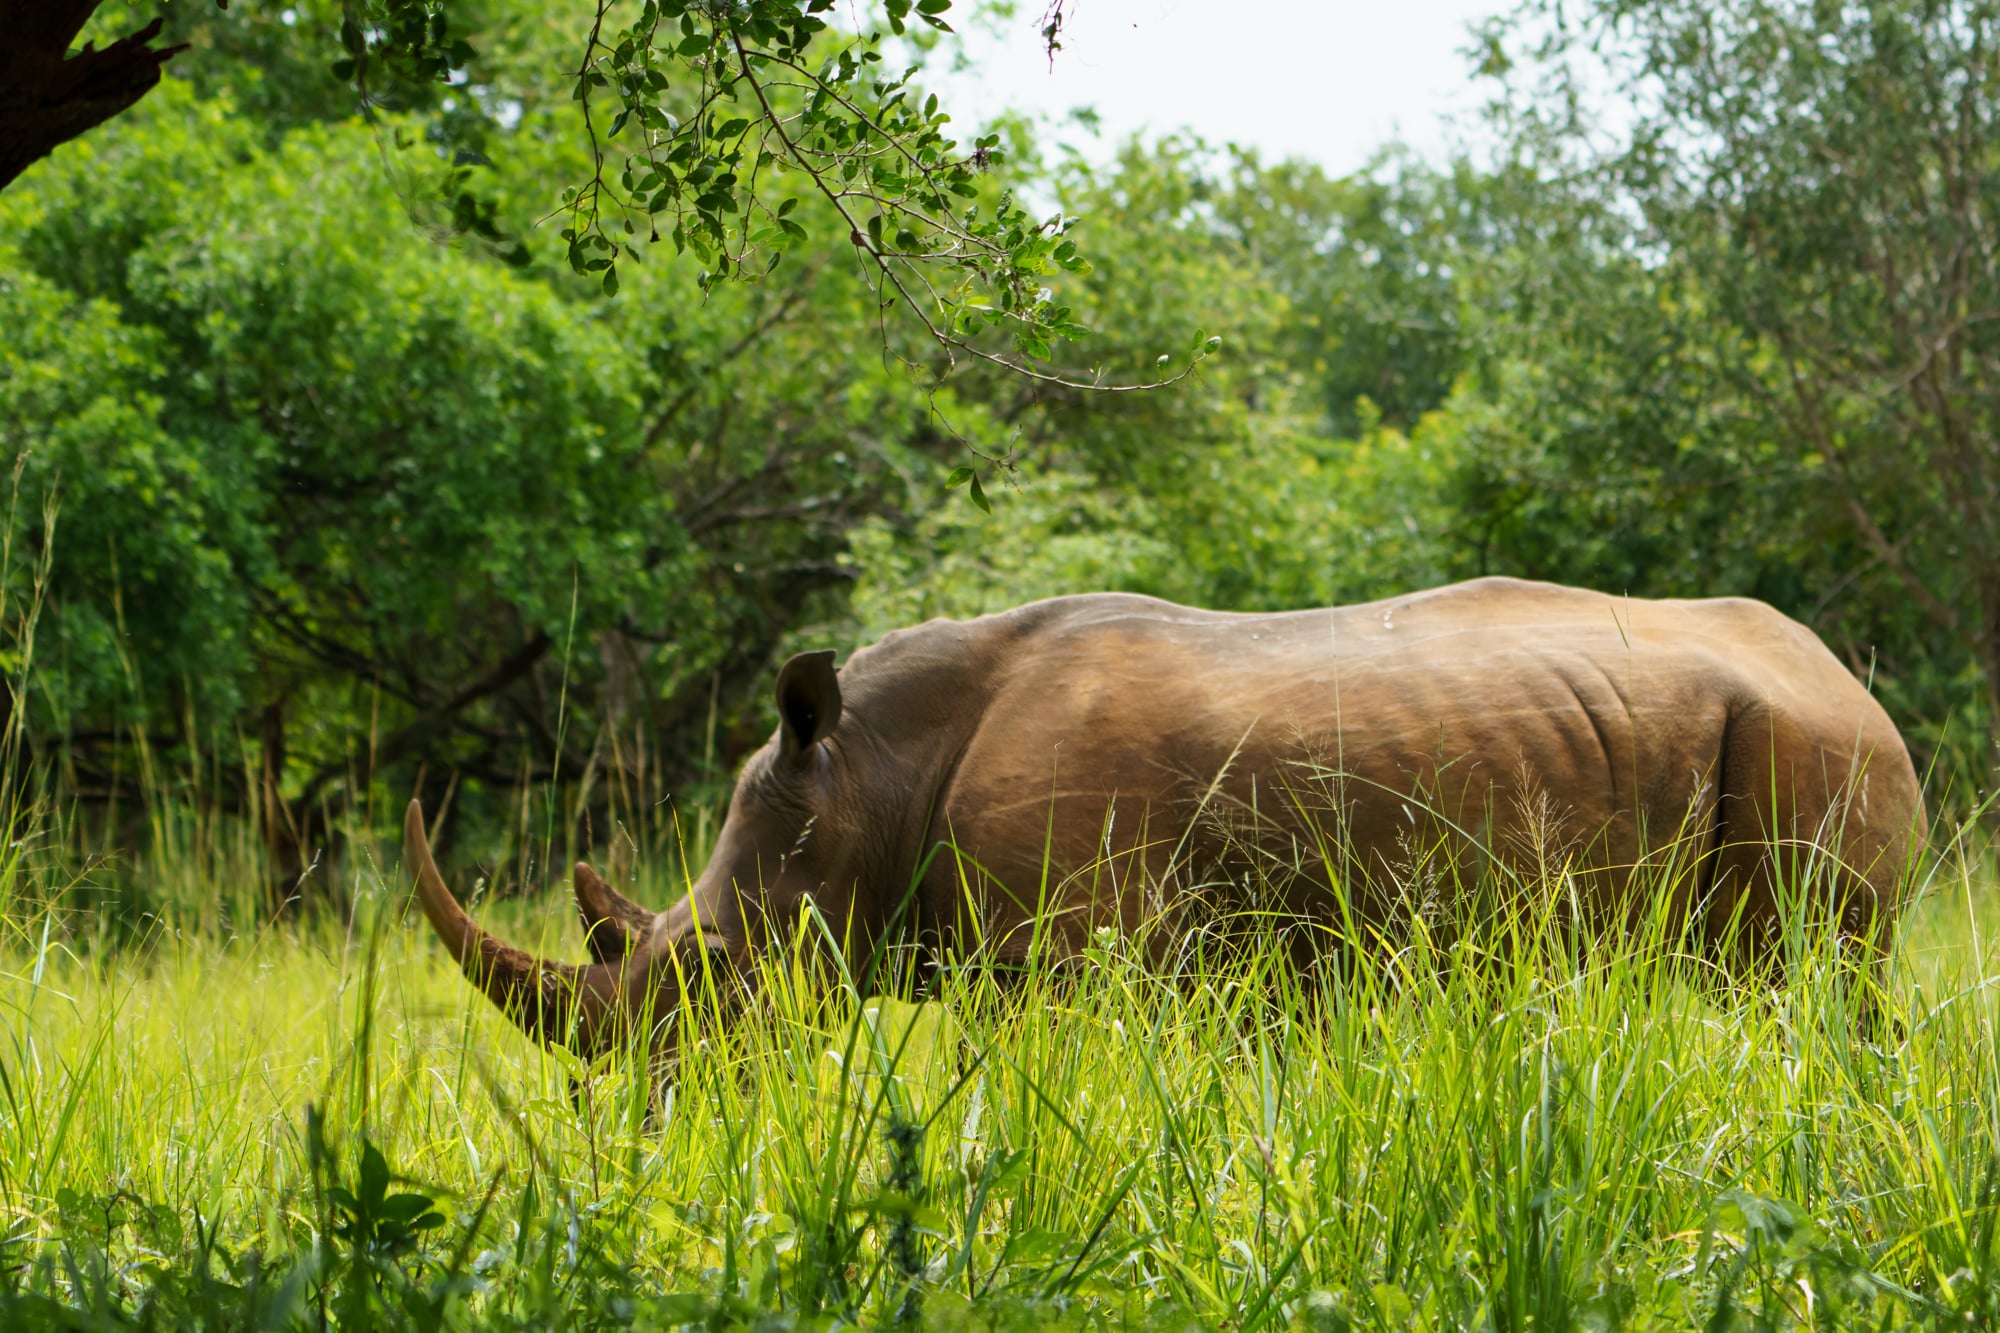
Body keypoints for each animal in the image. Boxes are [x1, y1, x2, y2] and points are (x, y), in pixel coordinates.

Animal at [405, 577, 1927, 1054]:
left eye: (713, 972)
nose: (648, 1114)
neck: (859, 777)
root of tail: (1854, 677)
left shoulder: (1087, 956)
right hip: (1788, 730)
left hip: (1814, 743)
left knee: (1804, 972)